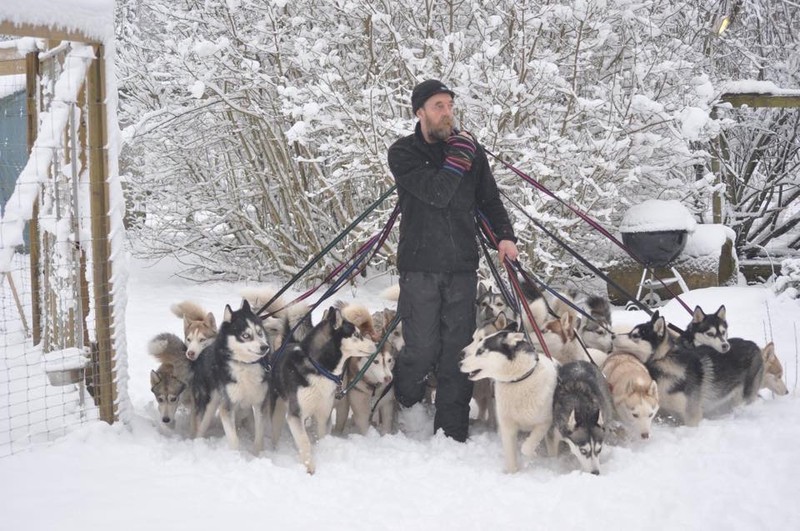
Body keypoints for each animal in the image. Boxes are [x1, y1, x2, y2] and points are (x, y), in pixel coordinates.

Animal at [191, 300, 272, 454]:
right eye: (246, 335)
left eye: (259, 333)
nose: (265, 347)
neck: (245, 365)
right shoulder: (227, 407)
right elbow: (234, 439)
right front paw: (236, 455)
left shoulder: (260, 403)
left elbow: (259, 435)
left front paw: (258, 454)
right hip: (209, 404)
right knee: (200, 427)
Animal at [270, 306, 376, 476]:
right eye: (357, 335)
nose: (376, 344)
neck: (319, 368)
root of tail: (288, 342)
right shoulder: (295, 414)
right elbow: (304, 442)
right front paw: (309, 467)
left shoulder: (323, 414)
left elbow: (322, 436)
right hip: (278, 411)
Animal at [460, 312, 560, 474]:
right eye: (473, 339)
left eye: (480, 350)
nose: (459, 361)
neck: (517, 380)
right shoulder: (507, 426)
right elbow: (511, 454)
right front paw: (513, 473)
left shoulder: (545, 423)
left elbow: (527, 446)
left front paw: (532, 454)